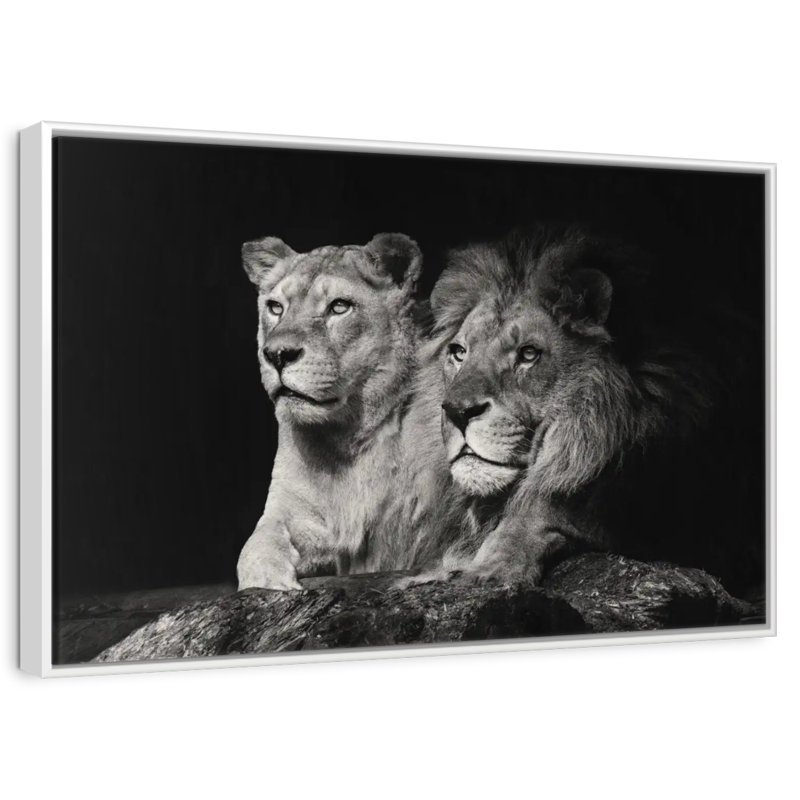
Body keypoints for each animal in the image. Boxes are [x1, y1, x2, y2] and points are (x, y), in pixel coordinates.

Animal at [236, 233, 456, 590]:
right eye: (275, 307)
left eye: (339, 307)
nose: (277, 354)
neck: (348, 437)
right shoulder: (292, 510)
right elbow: (256, 543)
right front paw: (268, 581)